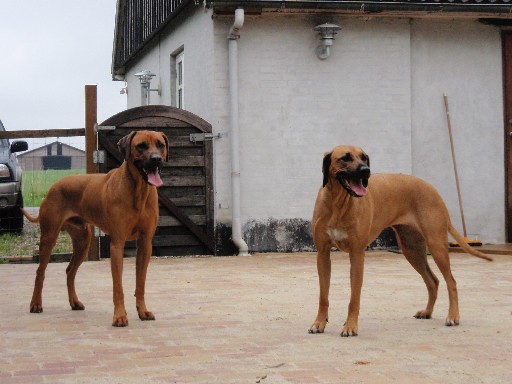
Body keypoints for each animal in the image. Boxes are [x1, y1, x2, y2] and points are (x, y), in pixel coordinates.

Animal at [21, 130, 168, 326]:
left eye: (160, 145)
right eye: (141, 146)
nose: (156, 159)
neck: (139, 190)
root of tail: (55, 185)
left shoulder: (145, 244)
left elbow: (141, 283)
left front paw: (142, 311)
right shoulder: (117, 244)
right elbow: (118, 286)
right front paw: (119, 316)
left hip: (83, 240)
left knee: (70, 271)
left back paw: (74, 302)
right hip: (49, 236)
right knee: (40, 272)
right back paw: (36, 304)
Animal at [308, 146, 492, 338]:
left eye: (364, 158)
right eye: (345, 158)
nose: (366, 170)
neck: (338, 203)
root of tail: (432, 188)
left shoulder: (357, 254)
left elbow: (354, 298)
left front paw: (350, 326)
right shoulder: (322, 254)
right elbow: (323, 296)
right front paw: (319, 323)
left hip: (436, 245)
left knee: (451, 282)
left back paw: (453, 316)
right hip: (412, 249)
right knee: (433, 280)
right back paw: (427, 312)